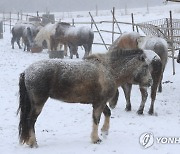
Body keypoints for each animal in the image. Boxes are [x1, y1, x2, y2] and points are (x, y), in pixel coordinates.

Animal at [17, 48, 152, 147]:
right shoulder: (99, 103)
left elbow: (107, 113)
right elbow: (96, 119)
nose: (150, 82)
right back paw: (33, 142)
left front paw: (105, 131)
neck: (108, 69)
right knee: (31, 120)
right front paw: (95, 138)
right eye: (145, 66)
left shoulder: (100, 102)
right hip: (38, 103)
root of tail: (26, 72)